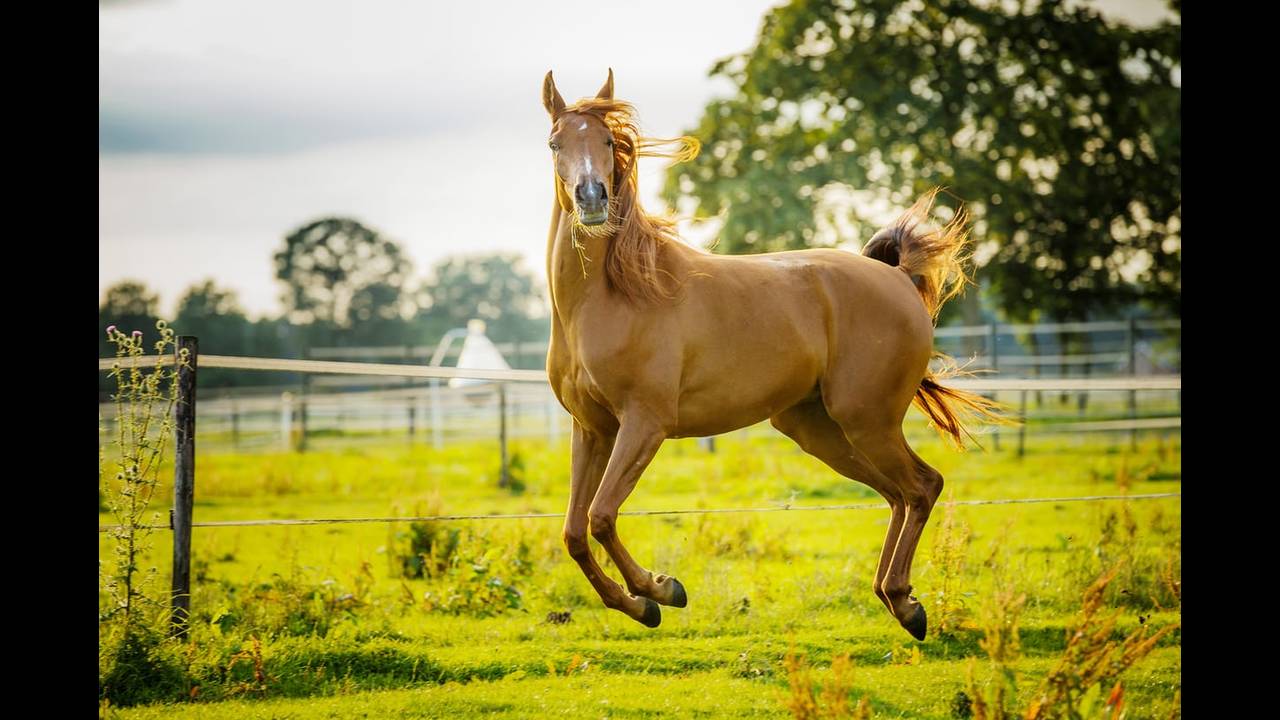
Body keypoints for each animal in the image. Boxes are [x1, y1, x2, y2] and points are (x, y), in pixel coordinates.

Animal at [535, 70, 1003, 635]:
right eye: (555, 142)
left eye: (607, 141)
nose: (591, 197)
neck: (610, 297)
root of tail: (894, 277)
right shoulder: (593, 429)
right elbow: (574, 533)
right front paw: (640, 605)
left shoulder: (644, 423)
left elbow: (601, 516)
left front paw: (661, 590)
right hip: (820, 430)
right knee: (899, 493)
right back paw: (896, 600)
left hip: (866, 420)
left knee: (922, 486)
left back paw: (905, 603)